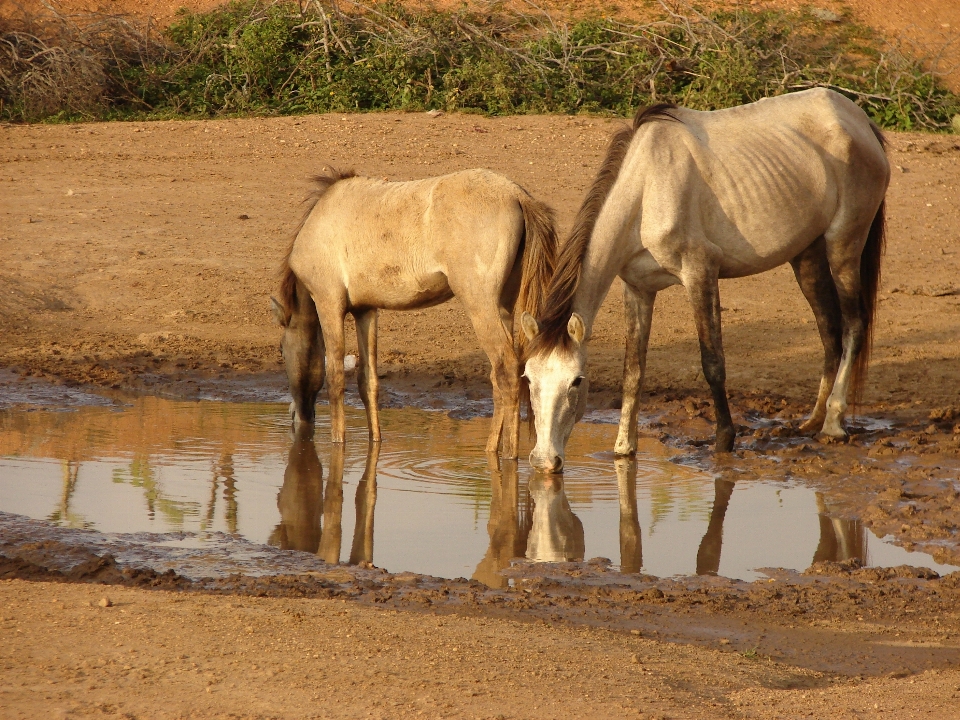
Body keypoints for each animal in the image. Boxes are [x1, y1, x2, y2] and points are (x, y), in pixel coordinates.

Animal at [270, 168, 560, 458]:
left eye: (282, 350)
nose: (296, 416)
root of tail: (517, 194)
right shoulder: (366, 311)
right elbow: (368, 382)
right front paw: (375, 441)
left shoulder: (329, 303)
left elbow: (335, 378)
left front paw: (337, 442)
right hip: (504, 307)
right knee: (500, 375)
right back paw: (491, 449)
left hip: (481, 305)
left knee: (507, 370)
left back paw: (509, 455)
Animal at [520, 88, 888, 472]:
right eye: (528, 378)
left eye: (576, 381)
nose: (543, 461)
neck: (646, 189)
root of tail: (859, 121)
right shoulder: (638, 289)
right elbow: (633, 370)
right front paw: (623, 448)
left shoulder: (700, 273)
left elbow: (713, 362)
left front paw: (725, 440)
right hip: (807, 255)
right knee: (829, 330)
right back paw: (812, 421)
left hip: (844, 245)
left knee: (854, 325)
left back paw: (833, 423)